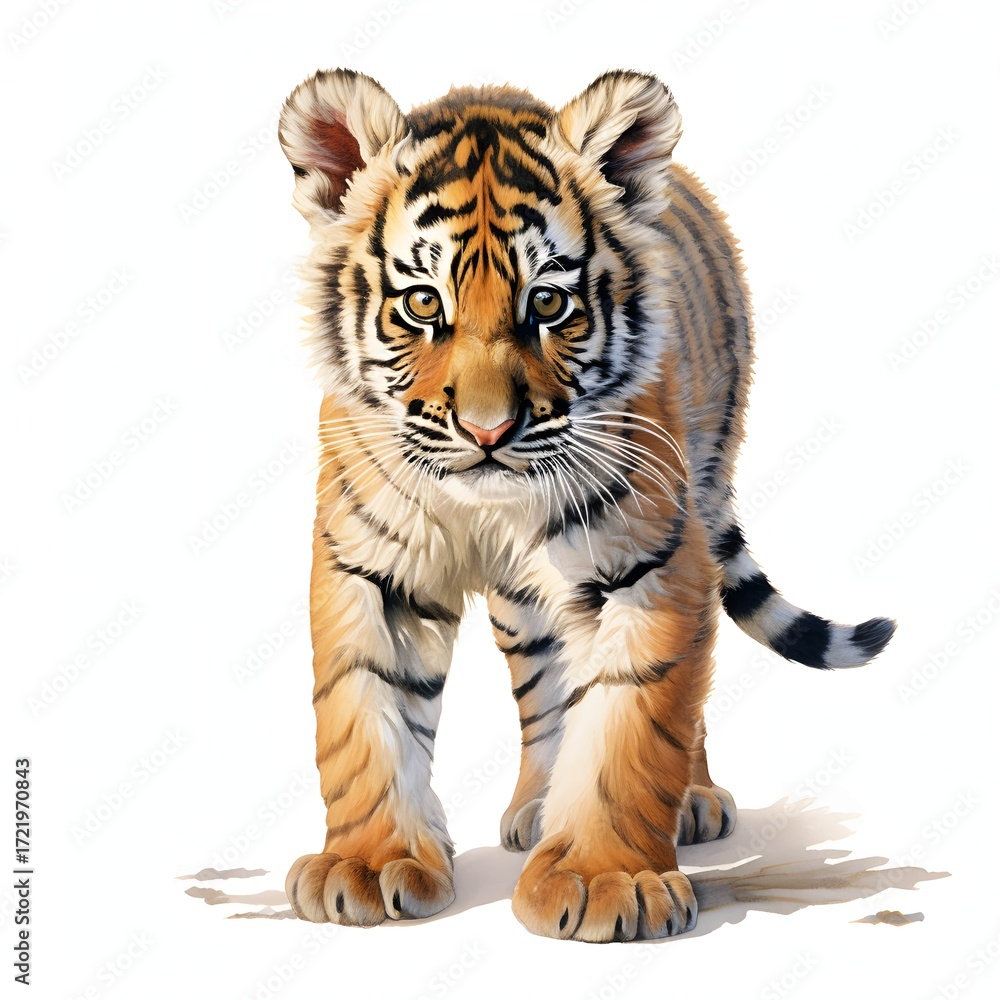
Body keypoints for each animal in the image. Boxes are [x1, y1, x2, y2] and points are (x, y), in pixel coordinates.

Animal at [276, 68, 895, 942]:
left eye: (548, 304)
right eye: (424, 304)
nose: (488, 429)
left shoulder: (651, 564)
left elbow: (631, 725)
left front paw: (608, 880)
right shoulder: (372, 567)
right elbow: (366, 714)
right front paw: (365, 866)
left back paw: (692, 803)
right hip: (525, 606)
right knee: (545, 689)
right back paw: (538, 806)